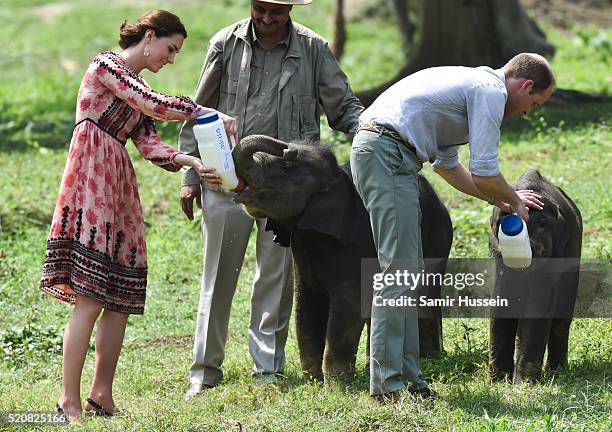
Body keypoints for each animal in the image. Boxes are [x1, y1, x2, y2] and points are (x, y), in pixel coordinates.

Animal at [232, 134, 452, 382]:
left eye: (287, 167)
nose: (286, 147)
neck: (338, 179)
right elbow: (307, 306)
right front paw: (314, 380)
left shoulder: (357, 245)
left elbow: (348, 307)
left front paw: (336, 383)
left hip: (438, 237)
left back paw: (430, 359)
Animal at [488, 170, 584, 384]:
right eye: (501, 222)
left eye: (542, 223)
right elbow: (501, 302)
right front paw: (498, 382)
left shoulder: (557, 252)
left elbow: (540, 303)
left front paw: (523, 385)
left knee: (561, 318)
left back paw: (558, 372)